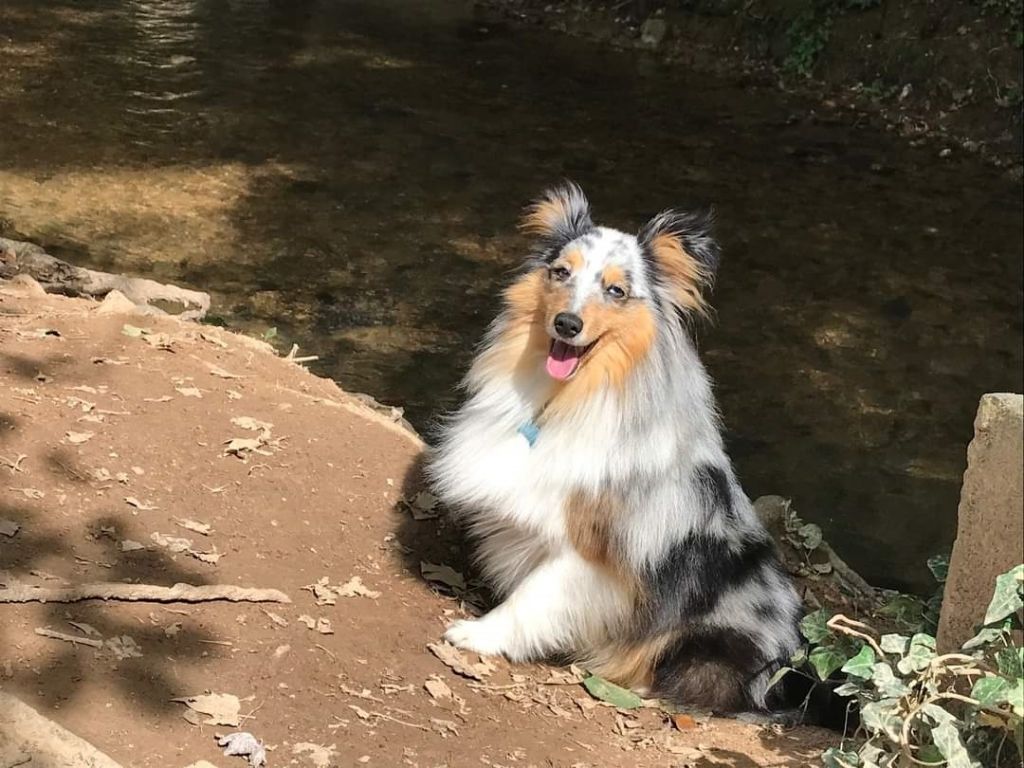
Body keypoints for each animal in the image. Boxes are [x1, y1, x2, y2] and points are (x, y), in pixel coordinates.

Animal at [428, 183, 802, 712]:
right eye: (561, 272)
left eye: (616, 291)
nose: (566, 324)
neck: (564, 400)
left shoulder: (591, 550)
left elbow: (533, 595)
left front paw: (480, 633)